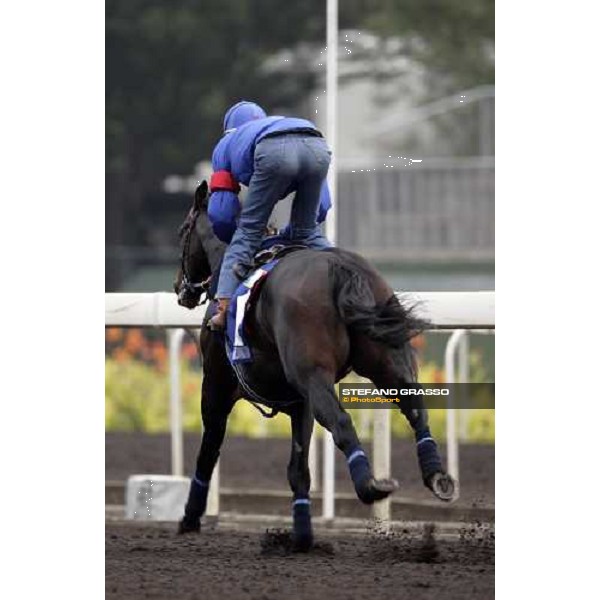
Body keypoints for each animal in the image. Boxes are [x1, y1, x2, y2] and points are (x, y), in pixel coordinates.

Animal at [173, 184, 454, 552]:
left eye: (182, 231)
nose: (179, 289)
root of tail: (340, 267)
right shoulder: (299, 402)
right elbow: (298, 469)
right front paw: (302, 535)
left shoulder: (216, 387)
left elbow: (208, 452)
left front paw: (190, 518)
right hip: (386, 359)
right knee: (414, 407)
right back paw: (436, 476)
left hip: (312, 373)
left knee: (341, 422)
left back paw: (371, 486)